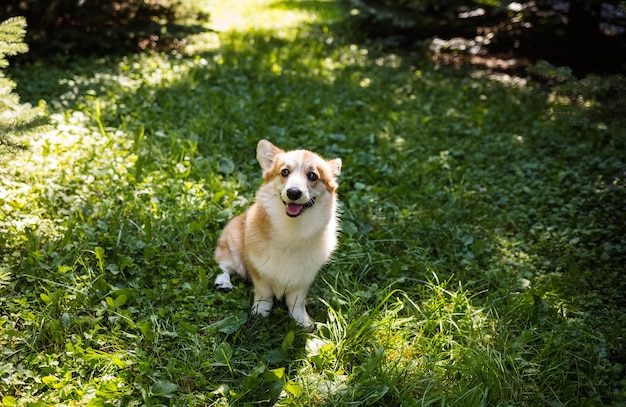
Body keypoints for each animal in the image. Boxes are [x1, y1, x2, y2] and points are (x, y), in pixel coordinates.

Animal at [214, 139, 342, 330]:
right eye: (284, 172)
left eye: (313, 176)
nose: (293, 193)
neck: (292, 231)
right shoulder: (259, 273)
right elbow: (264, 295)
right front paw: (260, 313)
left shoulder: (303, 279)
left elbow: (296, 302)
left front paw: (302, 322)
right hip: (232, 248)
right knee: (224, 266)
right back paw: (223, 283)